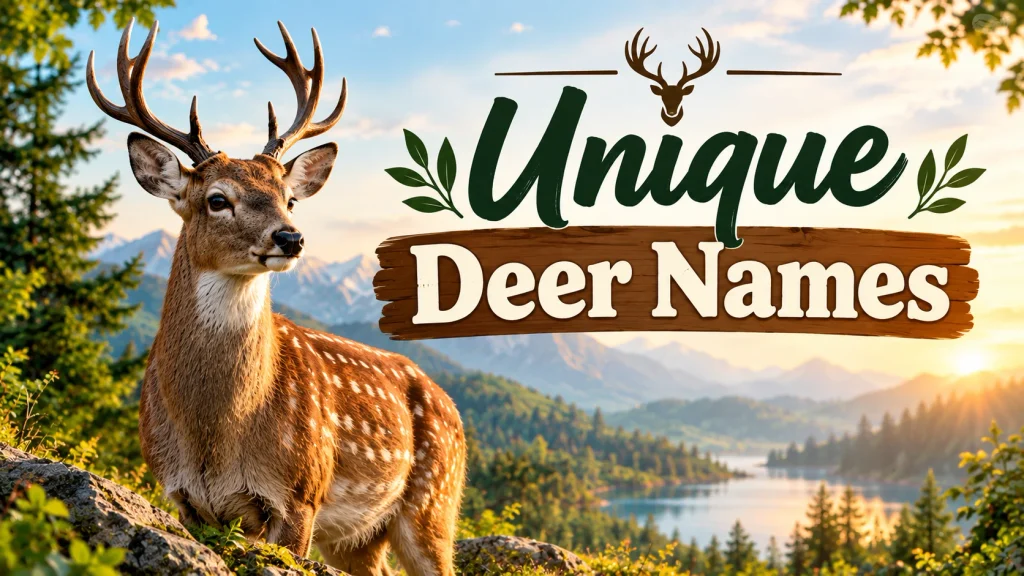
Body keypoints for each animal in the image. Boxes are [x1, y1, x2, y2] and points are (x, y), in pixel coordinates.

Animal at [86, 20, 466, 576]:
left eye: (289, 198)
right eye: (217, 199)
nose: (291, 237)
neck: (214, 440)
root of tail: (452, 407)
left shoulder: (300, 493)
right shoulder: (182, 496)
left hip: (435, 502)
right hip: (360, 537)